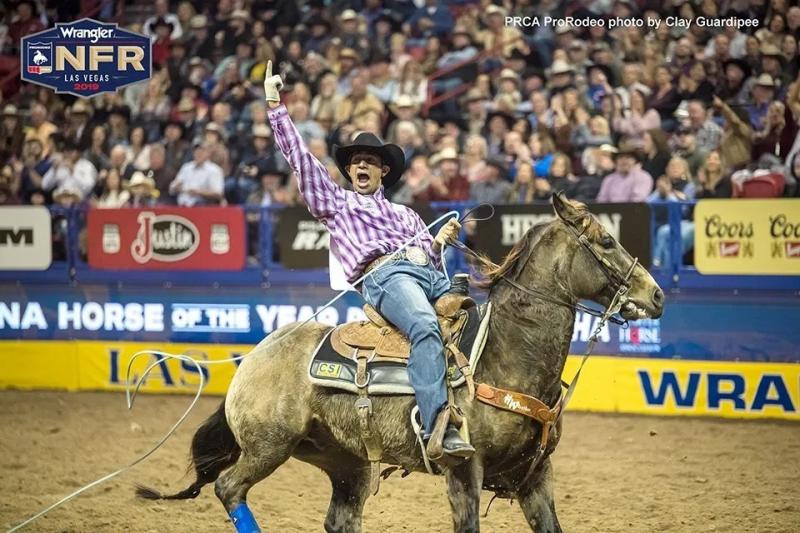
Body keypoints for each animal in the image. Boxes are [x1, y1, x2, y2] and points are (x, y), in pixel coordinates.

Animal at [138, 193, 664, 528]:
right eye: (607, 242)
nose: (656, 295)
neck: (507, 355)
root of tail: (251, 359)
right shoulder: (464, 474)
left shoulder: (537, 477)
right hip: (268, 447)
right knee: (229, 488)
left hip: (345, 464)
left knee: (339, 519)